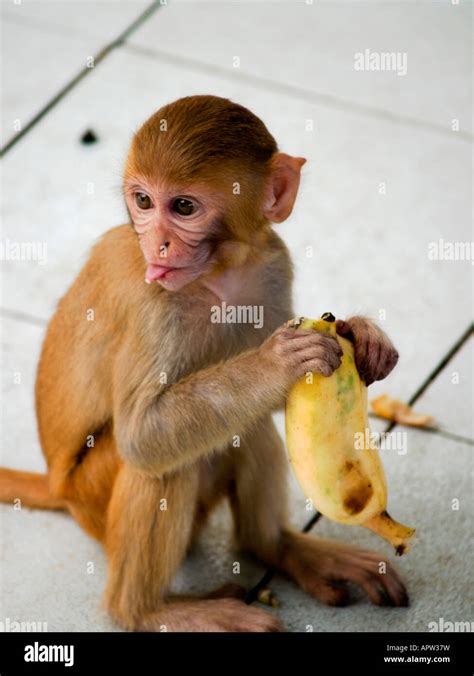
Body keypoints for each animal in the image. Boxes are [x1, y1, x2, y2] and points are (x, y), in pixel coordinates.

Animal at [0, 96, 408, 632]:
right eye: (143, 201)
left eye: (184, 207)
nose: (158, 244)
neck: (217, 275)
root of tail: (57, 484)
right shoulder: (153, 304)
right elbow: (142, 436)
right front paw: (276, 364)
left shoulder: (273, 262)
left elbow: (271, 404)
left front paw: (361, 331)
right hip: (92, 498)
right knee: (165, 466)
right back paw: (149, 611)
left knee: (244, 426)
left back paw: (278, 547)